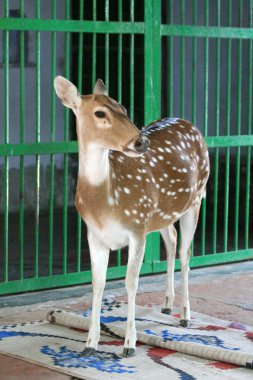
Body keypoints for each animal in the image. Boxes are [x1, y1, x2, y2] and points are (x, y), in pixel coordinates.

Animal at [53, 75, 210, 358]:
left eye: (124, 107)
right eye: (100, 113)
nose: (141, 142)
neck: (106, 198)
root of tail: (189, 123)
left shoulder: (137, 226)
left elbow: (130, 283)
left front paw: (129, 344)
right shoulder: (95, 234)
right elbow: (98, 283)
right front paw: (90, 344)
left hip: (196, 198)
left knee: (186, 253)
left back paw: (185, 315)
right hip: (161, 213)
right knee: (171, 239)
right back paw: (167, 303)